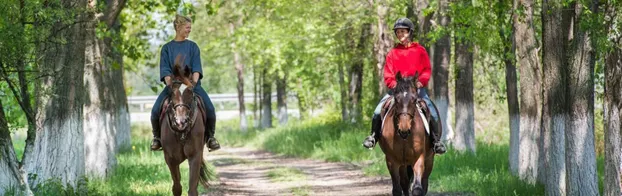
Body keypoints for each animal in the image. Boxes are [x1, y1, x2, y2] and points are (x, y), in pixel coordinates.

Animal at [161, 54, 214, 195]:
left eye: (190, 91)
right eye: (172, 92)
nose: (181, 121)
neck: (181, 132)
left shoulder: (195, 156)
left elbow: (192, 189)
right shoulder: (170, 159)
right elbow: (177, 187)